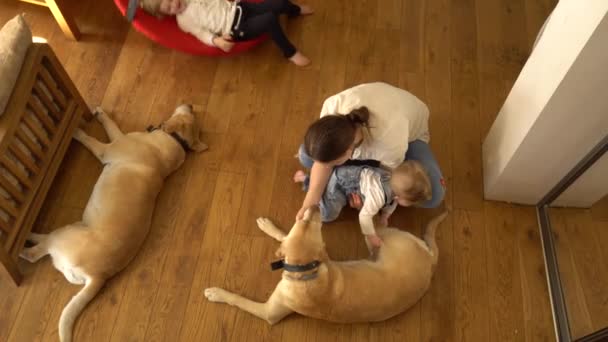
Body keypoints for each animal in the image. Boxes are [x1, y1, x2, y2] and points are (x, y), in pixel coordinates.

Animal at [18, 105, 207, 342]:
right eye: (192, 115)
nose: (190, 105)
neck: (175, 141)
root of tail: (98, 276)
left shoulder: (109, 148)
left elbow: (98, 135)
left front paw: (78, 130)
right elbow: (111, 125)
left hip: (64, 234)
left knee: (35, 253)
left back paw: (25, 241)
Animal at [204, 207, 446, 324]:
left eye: (314, 223)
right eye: (303, 221)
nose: (313, 205)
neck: (305, 272)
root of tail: (431, 263)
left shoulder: (268, 313)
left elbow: (238, 299)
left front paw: (216, 293)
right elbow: (284, 236)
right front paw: (268, 226)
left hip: (382, 240)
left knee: (374, 224)